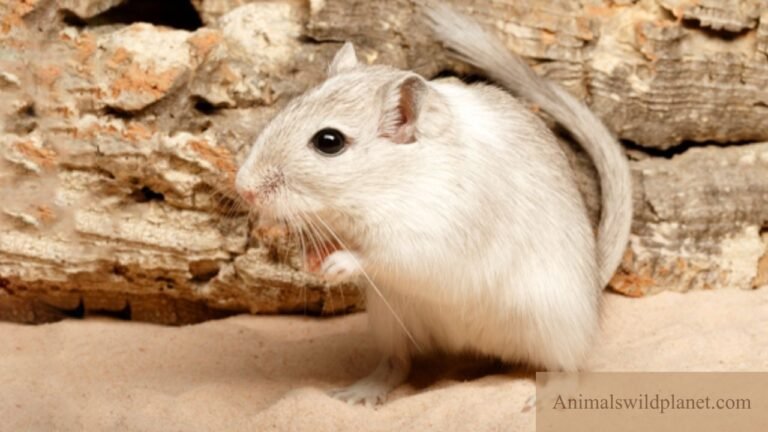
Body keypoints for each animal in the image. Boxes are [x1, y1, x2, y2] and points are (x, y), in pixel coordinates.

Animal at [235, 3, 632, 406]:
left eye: (328, 142)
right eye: (288, 108)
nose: (242, 188)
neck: (387, 185)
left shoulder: (429, 238)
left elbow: (379, 256)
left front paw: (336, 264)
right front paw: (311, 262)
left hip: (554, 324)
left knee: (568, 368)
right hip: (390, 319)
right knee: (396, 363)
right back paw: (359, 394)